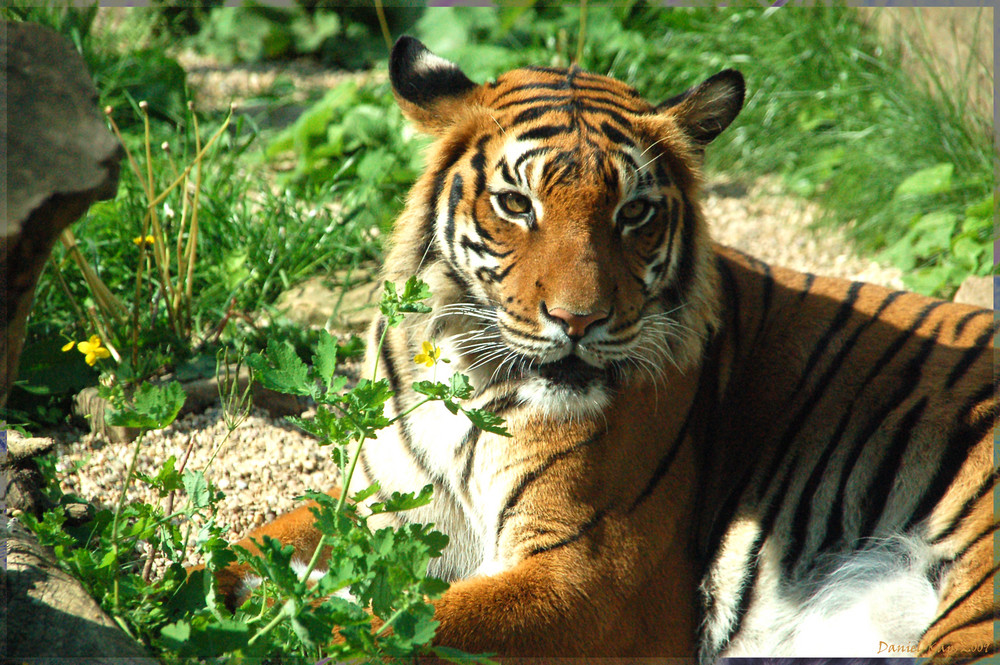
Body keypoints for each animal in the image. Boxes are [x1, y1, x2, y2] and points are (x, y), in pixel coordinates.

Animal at [215, 37, 996, 664]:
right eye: (517, 204)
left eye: (636, 213)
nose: (578, 319)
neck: (469, 378)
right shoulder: (384, 504)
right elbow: (243, 546)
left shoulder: (593, 580)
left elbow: (402, 628)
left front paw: (286, 620)